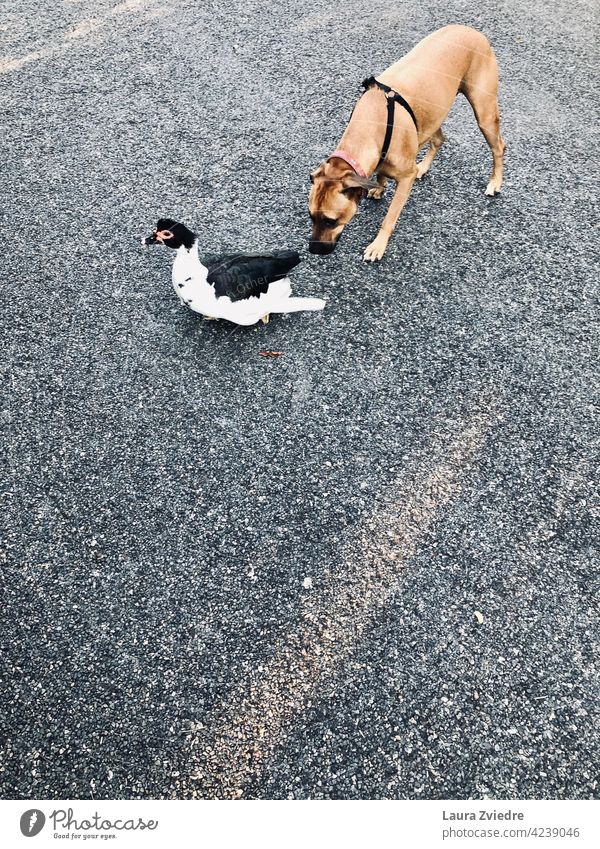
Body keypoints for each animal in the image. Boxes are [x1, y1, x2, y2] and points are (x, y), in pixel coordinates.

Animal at [310, 24, 506, 260]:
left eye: (331, 221)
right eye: (311, 216)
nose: (312, 250)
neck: (372, 123)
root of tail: (470, 29)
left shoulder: (405, 180)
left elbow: (389, 219)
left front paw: (378, 246)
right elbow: (381, 173)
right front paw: (379, 186)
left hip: (484, 112)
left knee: (498, 147)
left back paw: (495, 182)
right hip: (433, 113)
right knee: (439, 139)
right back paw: (423, 166)